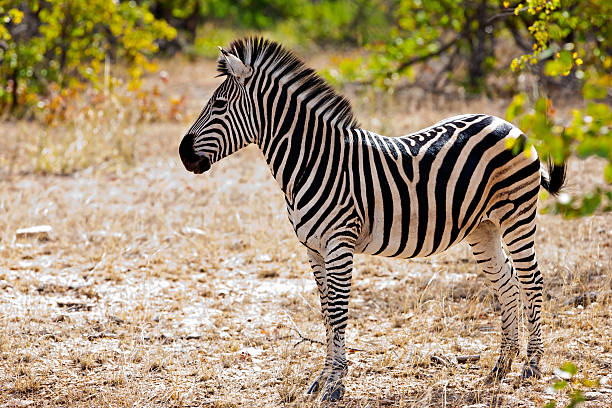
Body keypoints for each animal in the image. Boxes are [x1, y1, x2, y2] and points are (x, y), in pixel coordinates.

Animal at [179, 38, 568, 402]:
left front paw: (335, 384)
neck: (312, 161)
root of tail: (510, 124)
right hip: (482, 227)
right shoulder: (313, 249)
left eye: (218, 105)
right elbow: (325, 311)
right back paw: (501, 367)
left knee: (532, 280)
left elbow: (338, 311)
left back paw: (531, 366)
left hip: (517, 215)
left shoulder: (338, 244)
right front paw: (322, 379)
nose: (183, 154)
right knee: (506, 283)